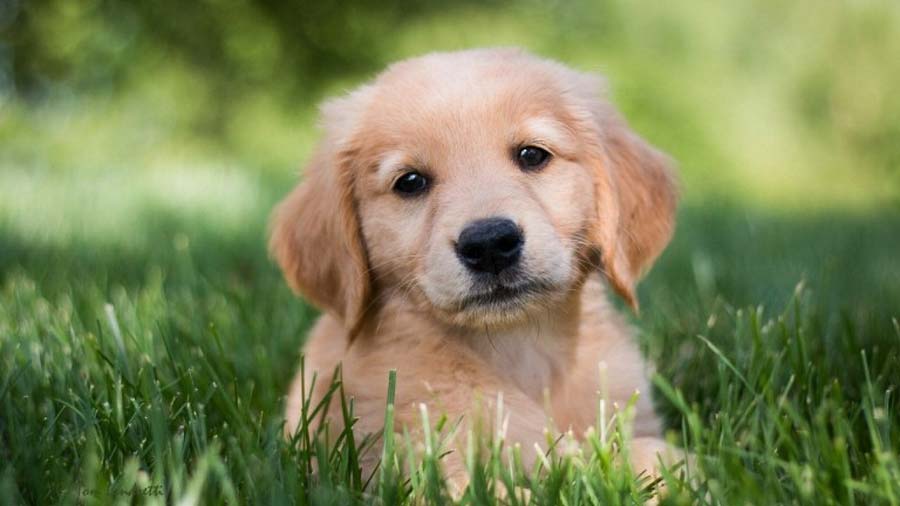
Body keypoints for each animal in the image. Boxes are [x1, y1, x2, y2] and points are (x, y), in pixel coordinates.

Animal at [270, 49, 680, 488]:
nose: (489, 245)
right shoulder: (425, 462)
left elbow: (645, 451)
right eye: (409, 182)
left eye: (532, 155)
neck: (516, 346)